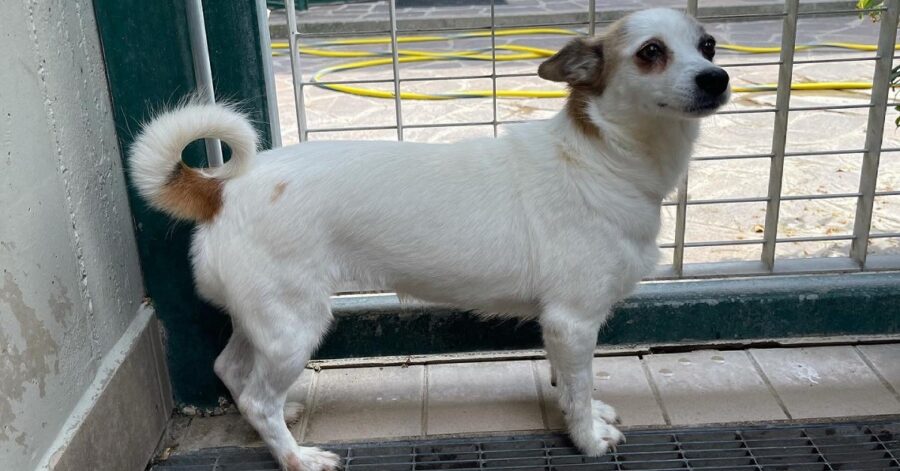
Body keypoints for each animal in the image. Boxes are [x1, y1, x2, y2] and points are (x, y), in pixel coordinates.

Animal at [130, 8, 728, 471]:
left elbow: (570, 381)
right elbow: (577, 390)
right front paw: (587, 439)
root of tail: (220, 189)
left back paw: (285, 420)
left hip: (263, 319)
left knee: (230, 369)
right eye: (651, 52)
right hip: (293, 328)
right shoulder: (573, 321)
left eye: (708, 45)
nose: (717, 77)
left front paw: (588, 411)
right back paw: (296, 456)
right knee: (256, 397)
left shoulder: (562, 328)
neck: (603, 156)